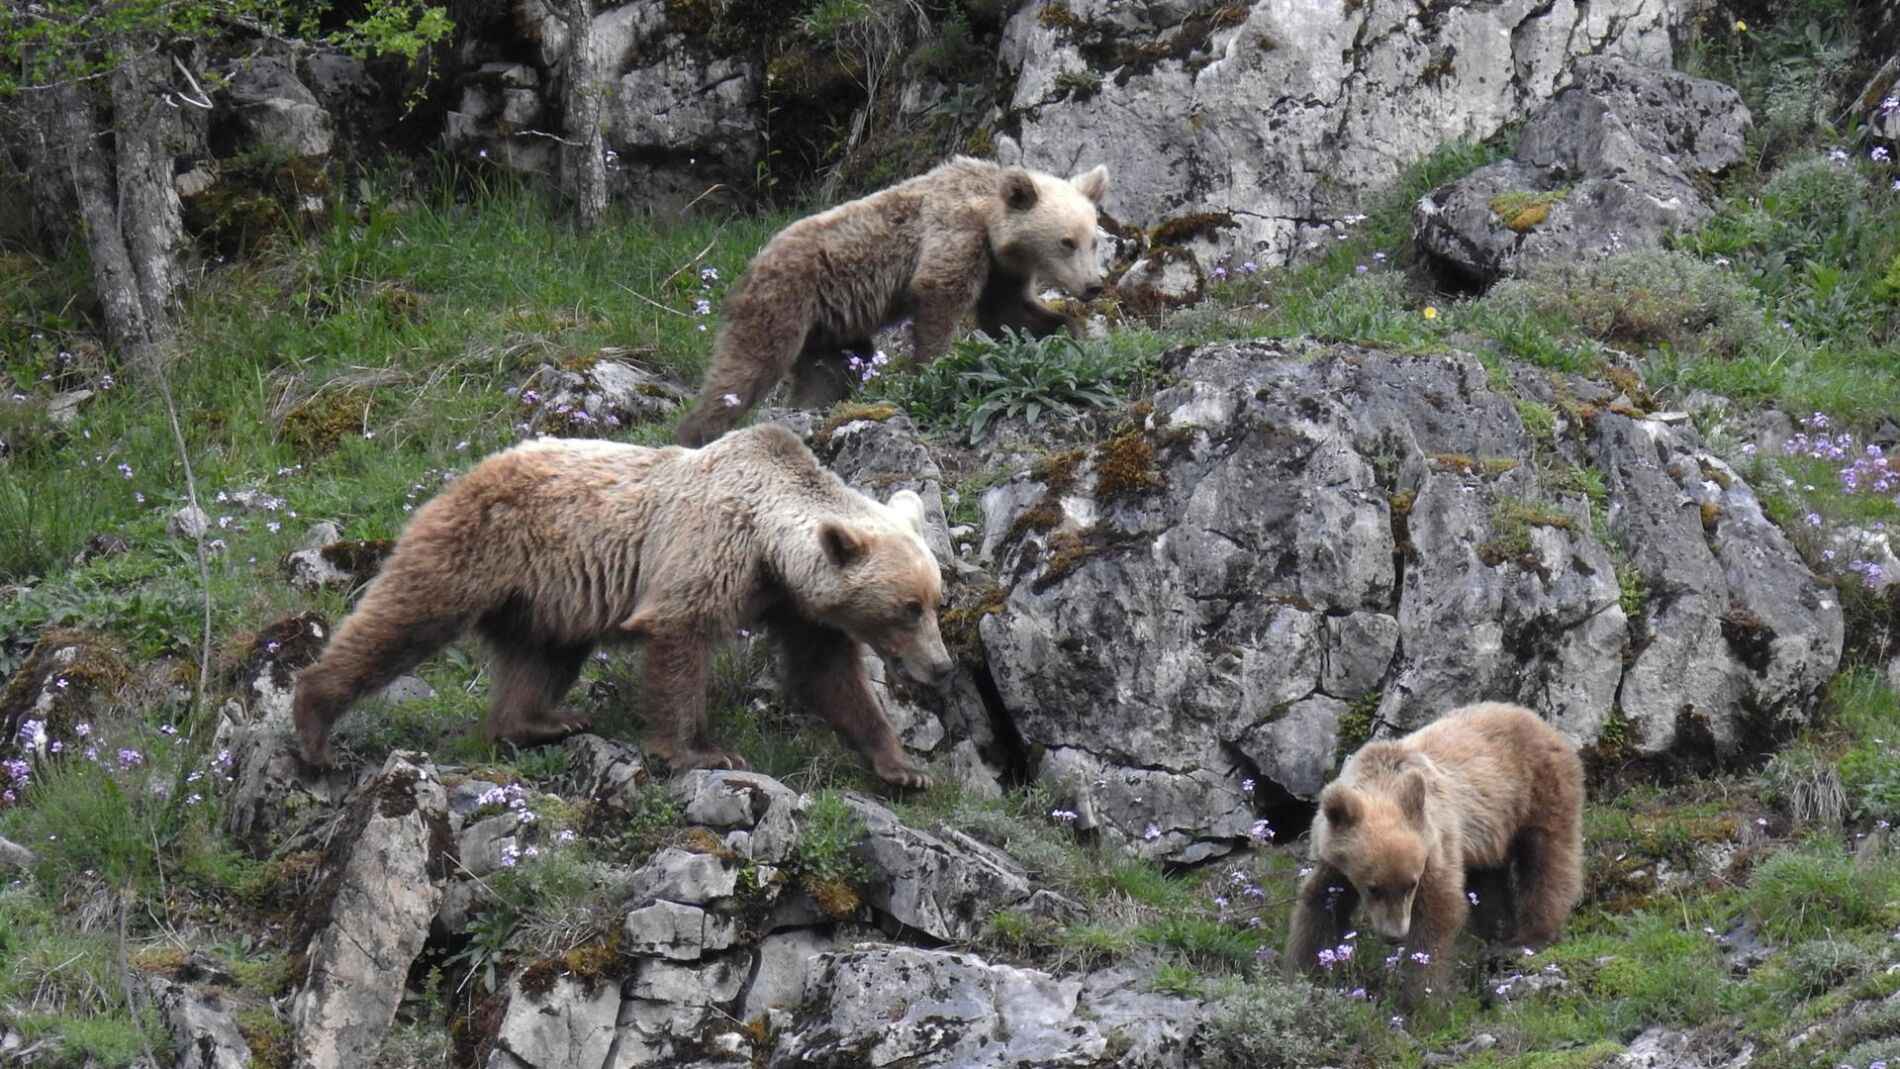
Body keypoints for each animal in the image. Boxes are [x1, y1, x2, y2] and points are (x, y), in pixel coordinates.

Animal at [290, 423, 953, 788]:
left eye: (935, 601)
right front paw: (700, 749)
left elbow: (828, 673)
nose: (943, 666)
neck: (768, 545)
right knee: (405, 618)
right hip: (479, 547)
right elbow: (678, 637)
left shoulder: (794, 603)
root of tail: (473, 466)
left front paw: (903, 766)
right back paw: (315, 726)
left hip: (546, 595)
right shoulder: (706, 548)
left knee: (544, 655)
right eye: (908, 607)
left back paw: (542, 720)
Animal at [673, 156, 1111, 447]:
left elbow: (1007, 313)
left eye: (1093, 240)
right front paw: (933, 370)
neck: (991, 221)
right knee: (747, 367)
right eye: (1066, 242)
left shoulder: (999, 271)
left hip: (831, 327)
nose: (1093, 285)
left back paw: (808, 409)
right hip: (783, 300)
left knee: (828, 372)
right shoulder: (957, 233)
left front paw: (1068, 331)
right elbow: (939, 295)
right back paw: (697, 433)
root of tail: (752, 264)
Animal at [1283, 701, 1584, 1005]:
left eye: (1410, 884)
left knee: (1547, 861)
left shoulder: (1435, 841)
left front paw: (1420, 997)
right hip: (1488, 834)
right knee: (1488, 882)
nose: (1395, 935)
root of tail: (1536, 720)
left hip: (1538, 790)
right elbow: (1320, 904)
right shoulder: (1334, 859)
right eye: (1373, 888)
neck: (1383, 781)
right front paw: (1305, 972)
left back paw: (1529, 937)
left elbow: (1438, 909)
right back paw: (1496, 932)